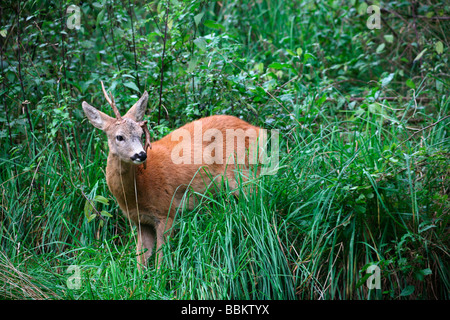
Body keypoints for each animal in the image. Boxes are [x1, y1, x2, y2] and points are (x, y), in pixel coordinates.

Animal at [82, 82, 262, 268]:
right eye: (119, 137)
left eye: (141, 134)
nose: (141, 155)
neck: (137, 191)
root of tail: (257, 129)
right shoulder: (140, 221)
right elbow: (141, 260)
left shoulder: (166, 211)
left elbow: (162, 259)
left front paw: (161, 275)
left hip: (242, 173)